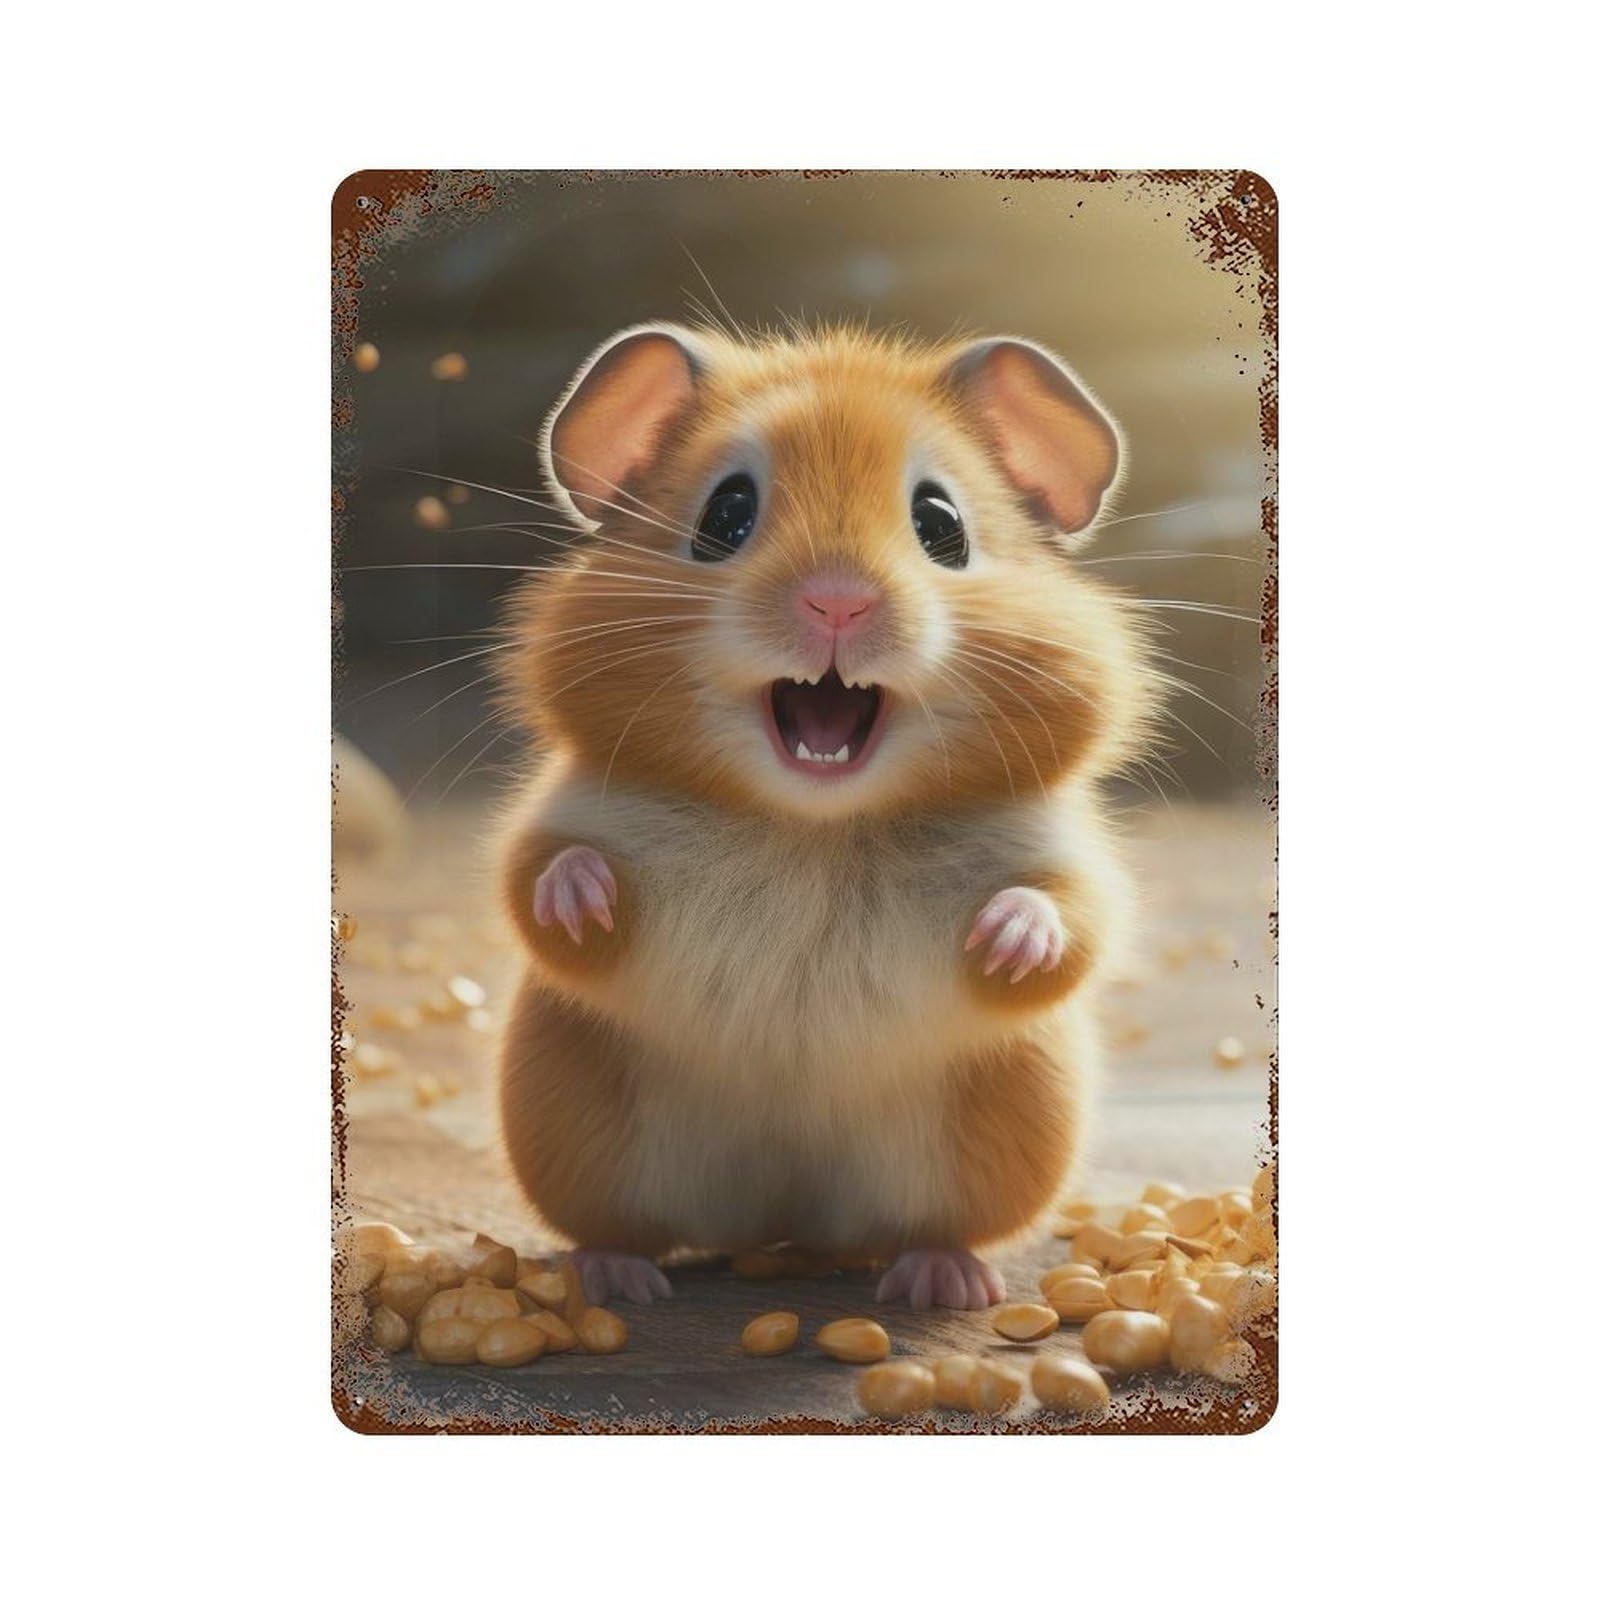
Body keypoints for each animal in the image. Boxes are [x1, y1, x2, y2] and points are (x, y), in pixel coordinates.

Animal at [494, 322, 1156, 1309]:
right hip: (575, 1123)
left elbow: (1067, 915)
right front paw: (581, 897)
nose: (838, 600)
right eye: (724, 517)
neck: (815, 828)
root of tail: (782, 1227)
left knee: (931, 1231)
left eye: (942, 527)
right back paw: (616, 1279)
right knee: (619, 1229)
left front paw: (1009, 938)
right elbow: (542, 880)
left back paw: (945, 1282)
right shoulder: (560, 816)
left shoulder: (1067, 855)